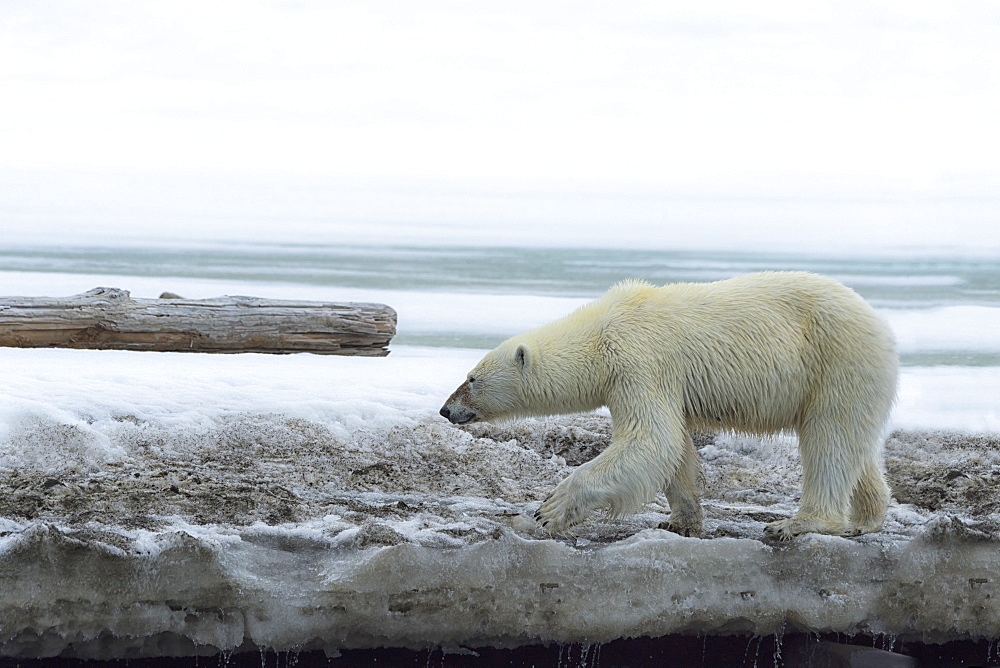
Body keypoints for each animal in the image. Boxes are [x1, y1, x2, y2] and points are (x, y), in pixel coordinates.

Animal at [440, 274, 900, 540]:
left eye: (472, 378)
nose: (446, 409)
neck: (600, 332)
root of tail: (880, 323)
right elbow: (673, 446)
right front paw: (680, 520)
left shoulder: (638, 360)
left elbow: (650, 440)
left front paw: (548, 511)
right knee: (854, 445)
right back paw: (865, 519)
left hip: (835, 358)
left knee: (830, 440)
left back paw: (796, 524)